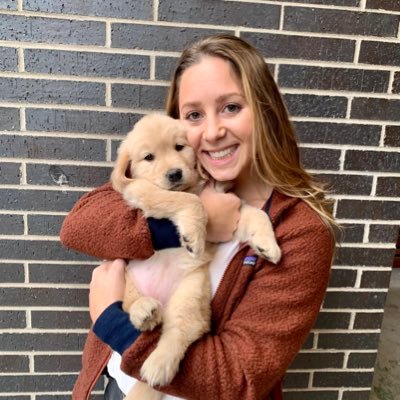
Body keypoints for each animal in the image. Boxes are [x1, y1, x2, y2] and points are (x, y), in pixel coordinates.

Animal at [108, 113, 280, 400]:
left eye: (180, 147)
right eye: (148, 157)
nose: (175, 173)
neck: (191, 185)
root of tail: (162, 301)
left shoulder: (232, 205)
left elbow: (257, 213)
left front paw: (268, 245)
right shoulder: (142, 189)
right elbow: (190, 201)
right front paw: (194, 235)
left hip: (190, 291)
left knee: (180, 330)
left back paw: (158, 363)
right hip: (127, 277)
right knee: (129, 306)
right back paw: (145, 314)